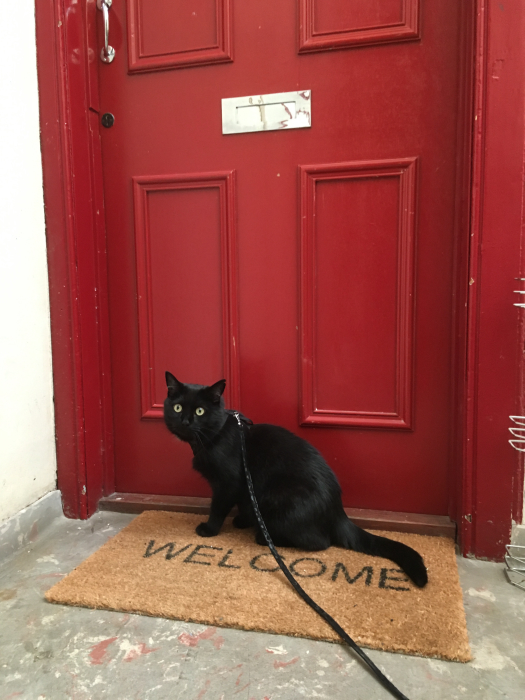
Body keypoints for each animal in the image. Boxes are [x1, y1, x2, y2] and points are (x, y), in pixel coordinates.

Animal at [164, 374, 426, 588]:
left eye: (200, 411)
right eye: (177, 407)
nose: (185, 421)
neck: (213, 437)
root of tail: (338, 512)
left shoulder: (228, 483)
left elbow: (218, 508)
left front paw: (209, 529)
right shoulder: (243, 487)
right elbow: (245, 504)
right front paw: (242, 521)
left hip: (280, 500)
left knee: (320, 542)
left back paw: (265, 537)